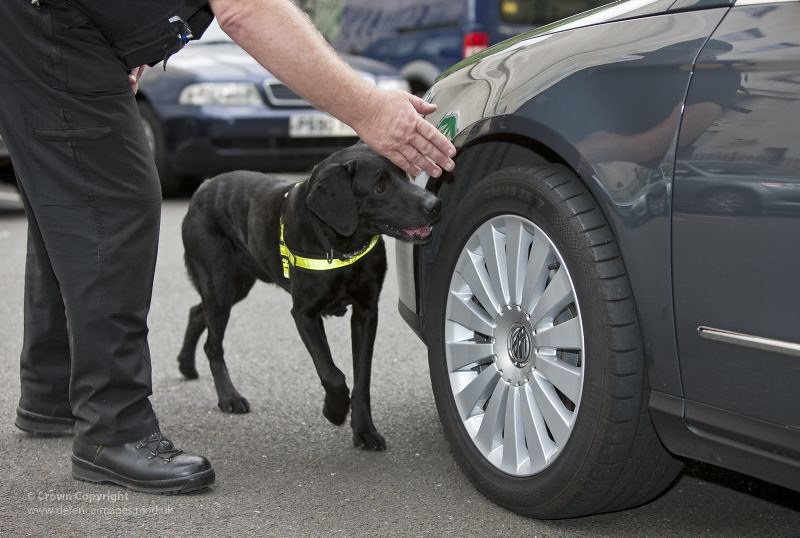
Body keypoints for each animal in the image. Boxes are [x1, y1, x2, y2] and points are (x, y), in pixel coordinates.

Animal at [177, 143, 440, 448]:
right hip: (221, 286)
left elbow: (362, 379)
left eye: (404, 174)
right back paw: (229, 397)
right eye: (380, 187)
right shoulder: (304, 314)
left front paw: (365, 431)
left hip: (236, 285)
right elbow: (333, 373)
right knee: (212, 343)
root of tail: (203, 186)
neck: (341, 246)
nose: (435, 204)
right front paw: (334, 410)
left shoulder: (366, 311)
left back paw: (186, 364)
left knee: (196, 312)